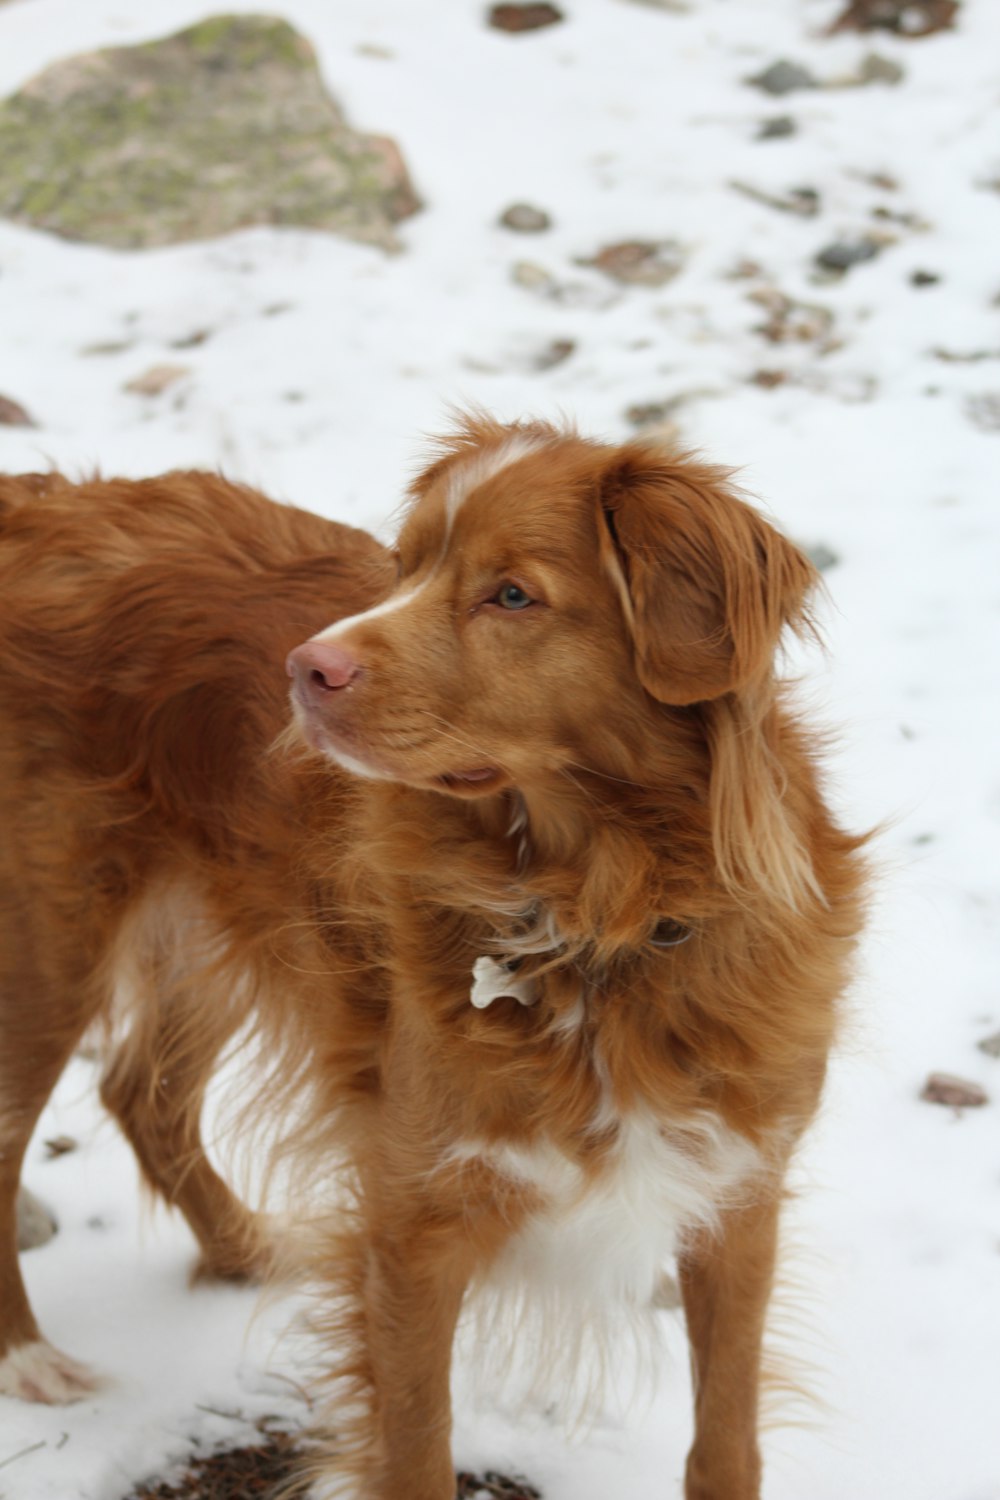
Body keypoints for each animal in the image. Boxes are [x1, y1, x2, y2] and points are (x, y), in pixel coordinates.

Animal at [0, 420, 869, 1500]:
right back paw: (30, 1359)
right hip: (52, 945)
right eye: (403, 566)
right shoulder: (413, 1221)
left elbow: (726, 1436)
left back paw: (249, 1249)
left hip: (215, 921)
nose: (302, 669)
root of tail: (40, 506)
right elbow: (416, 1444)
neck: (600, 916)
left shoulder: (739, 1195)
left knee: (142, 1090)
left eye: (512, 595)